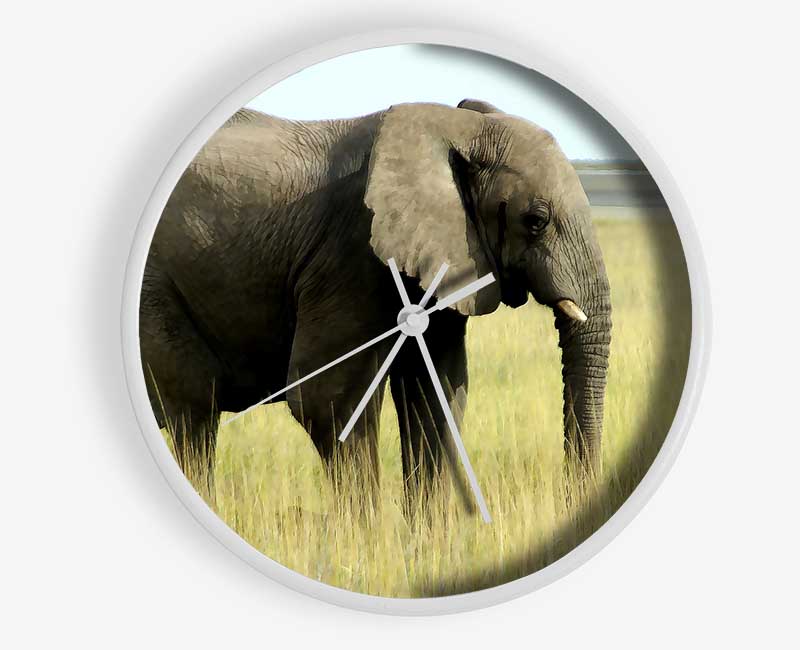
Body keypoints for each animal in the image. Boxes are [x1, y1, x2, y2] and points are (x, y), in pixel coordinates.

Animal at [140, 98, 612, 508]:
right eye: (535, 221)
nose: (571, 500)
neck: (455, 128)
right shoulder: (351, 253)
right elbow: (329, 402)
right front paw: (364, 543)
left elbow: (436, 391)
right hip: (158, 291)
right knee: (195, 412)